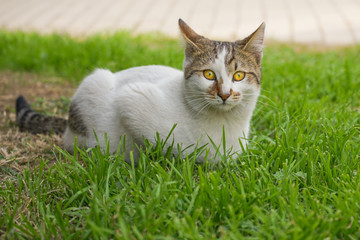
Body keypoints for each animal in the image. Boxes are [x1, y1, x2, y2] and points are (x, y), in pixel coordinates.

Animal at [15, 19, 264, 163]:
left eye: (239, 75)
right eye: (209, 74)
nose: (224, 94)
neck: (223, 126)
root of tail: (68, 124)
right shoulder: (132, 98)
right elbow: (159, 144)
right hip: (95, 83)